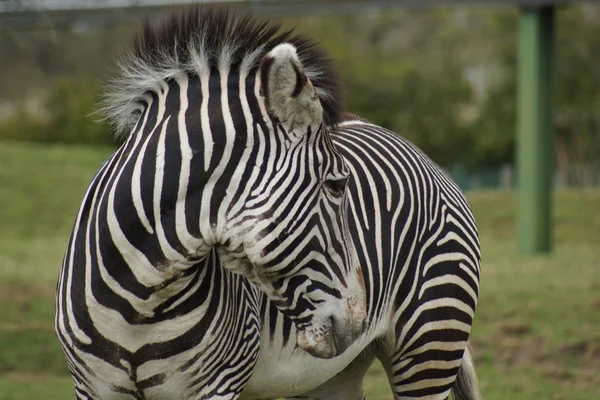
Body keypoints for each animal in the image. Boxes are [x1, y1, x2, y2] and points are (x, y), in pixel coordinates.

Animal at [54, 7, 480, 400]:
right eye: (337, 185)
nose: (358, 320)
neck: (140, 299)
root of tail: (418, 150)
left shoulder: (219, 382)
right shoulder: (92, 387)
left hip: (430, 343)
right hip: (336, 375)